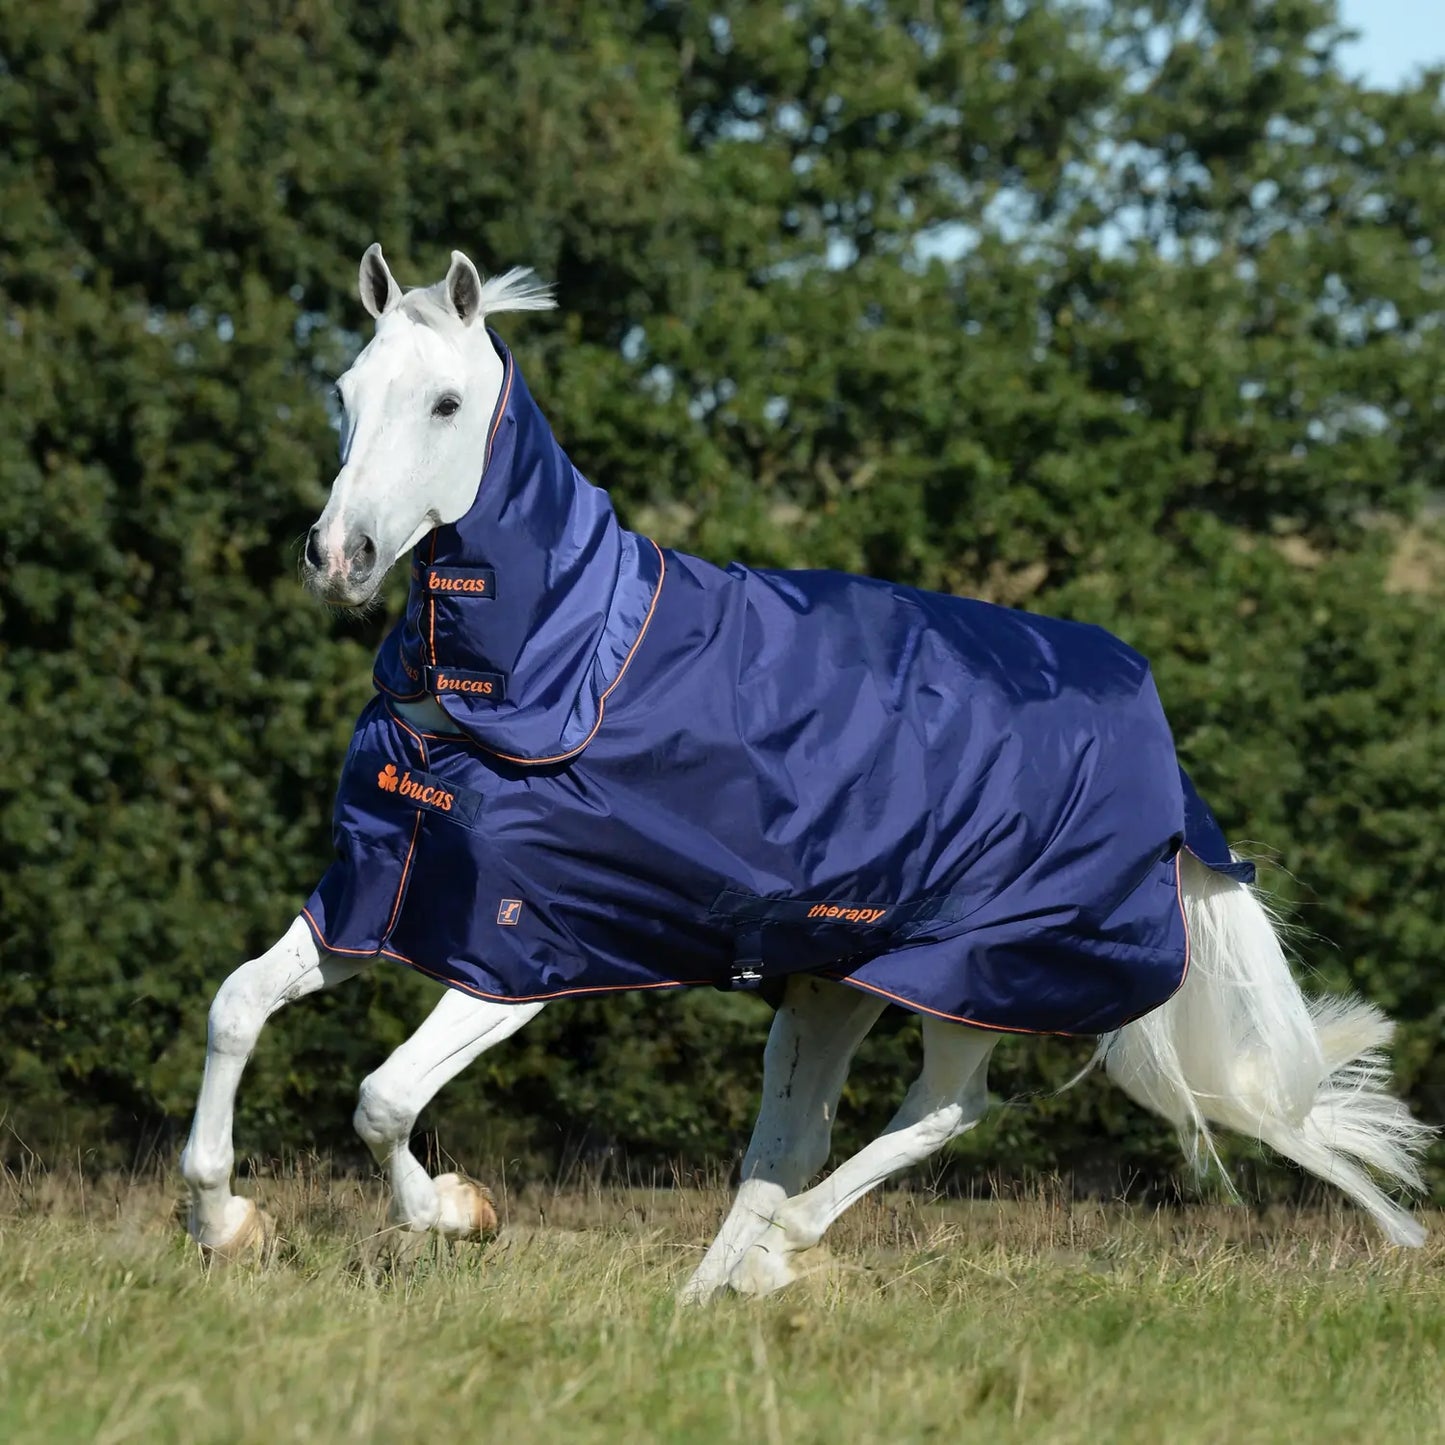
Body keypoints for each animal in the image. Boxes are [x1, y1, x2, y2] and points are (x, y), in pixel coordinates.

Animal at [180, 245, 1432, 1299]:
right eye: (345, 391)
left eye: (444, 402)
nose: (336, 557)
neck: (551, 672)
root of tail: (1160, 758)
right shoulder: (375, 900)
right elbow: (236, 1002)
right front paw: (226, 1220)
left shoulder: (521, 954)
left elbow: (380, 1097)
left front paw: (458, 1209)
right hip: (837, 979)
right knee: (792, 1135)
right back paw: (709, 1294)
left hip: (966, 970)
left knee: (945, 1107)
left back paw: (775, 1254)